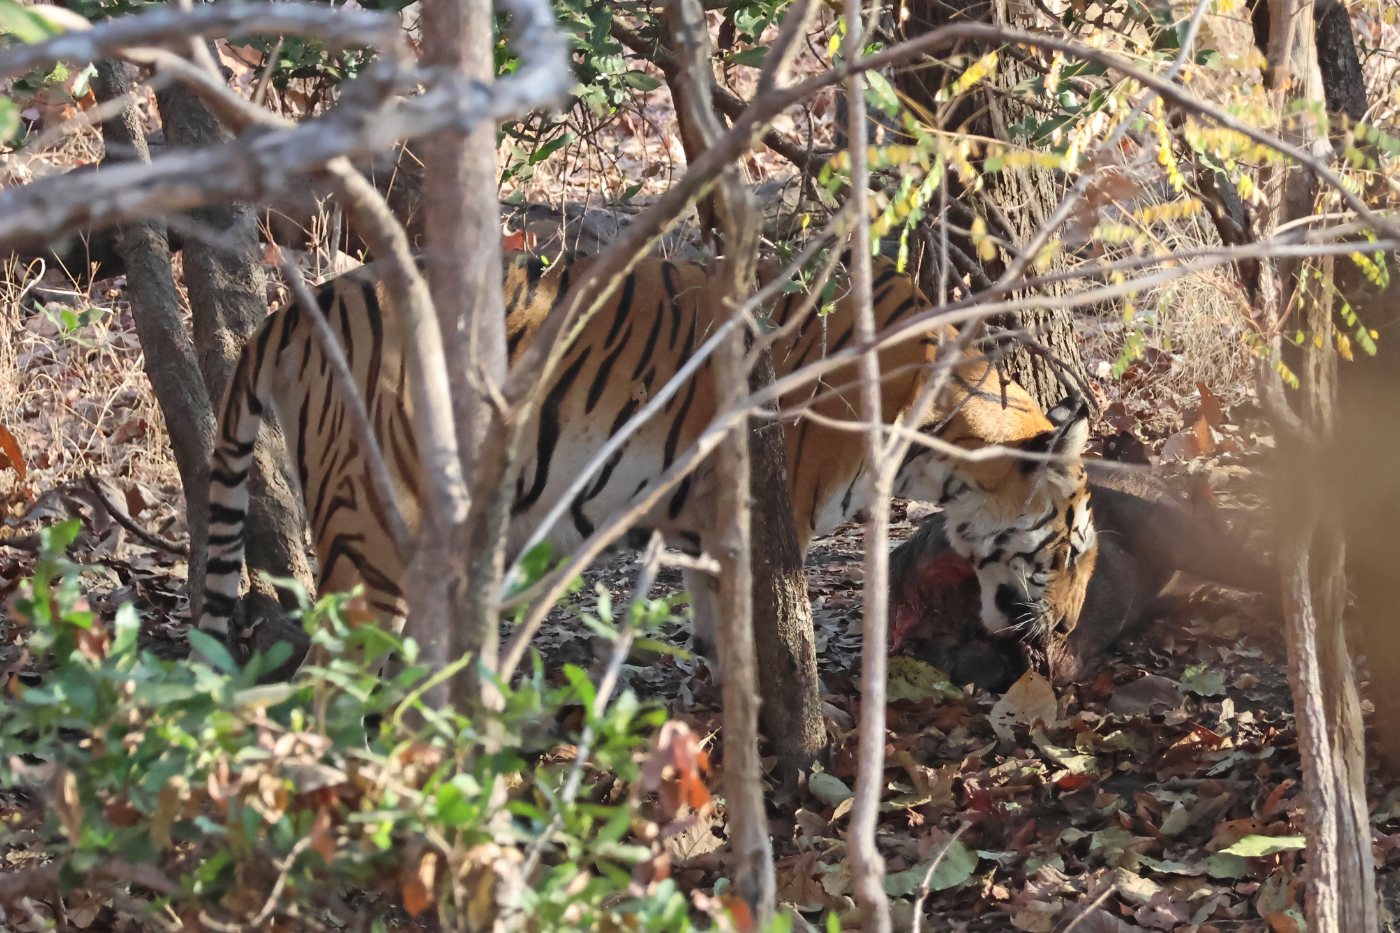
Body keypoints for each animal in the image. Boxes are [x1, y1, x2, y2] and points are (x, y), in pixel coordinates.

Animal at [199, 253, 1098, 667]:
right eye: (1069, 553)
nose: (1069, 629)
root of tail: (289, 312)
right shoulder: (762, 523)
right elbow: (772, 639)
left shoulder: (702, 530)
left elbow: (715, 631)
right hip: (372, 535)